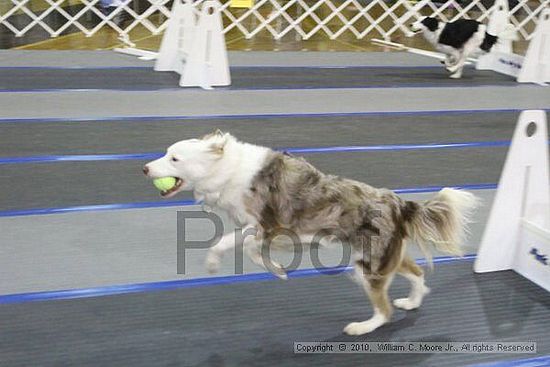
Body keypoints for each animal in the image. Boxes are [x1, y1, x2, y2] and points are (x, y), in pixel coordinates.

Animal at [143, 132, 478, 336]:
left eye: (175, 159)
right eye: (167, 153)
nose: (145, 168)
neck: (227, 170)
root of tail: (399, 202)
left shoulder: (269, 227)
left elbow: (241, 247)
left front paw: (273, 270)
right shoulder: (250, 226)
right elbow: (229, 244)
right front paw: (259, 268)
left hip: (368, 266)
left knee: (383, 311)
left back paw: (361, 327)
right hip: (385, 258)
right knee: (418, 273)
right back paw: (411, 303)